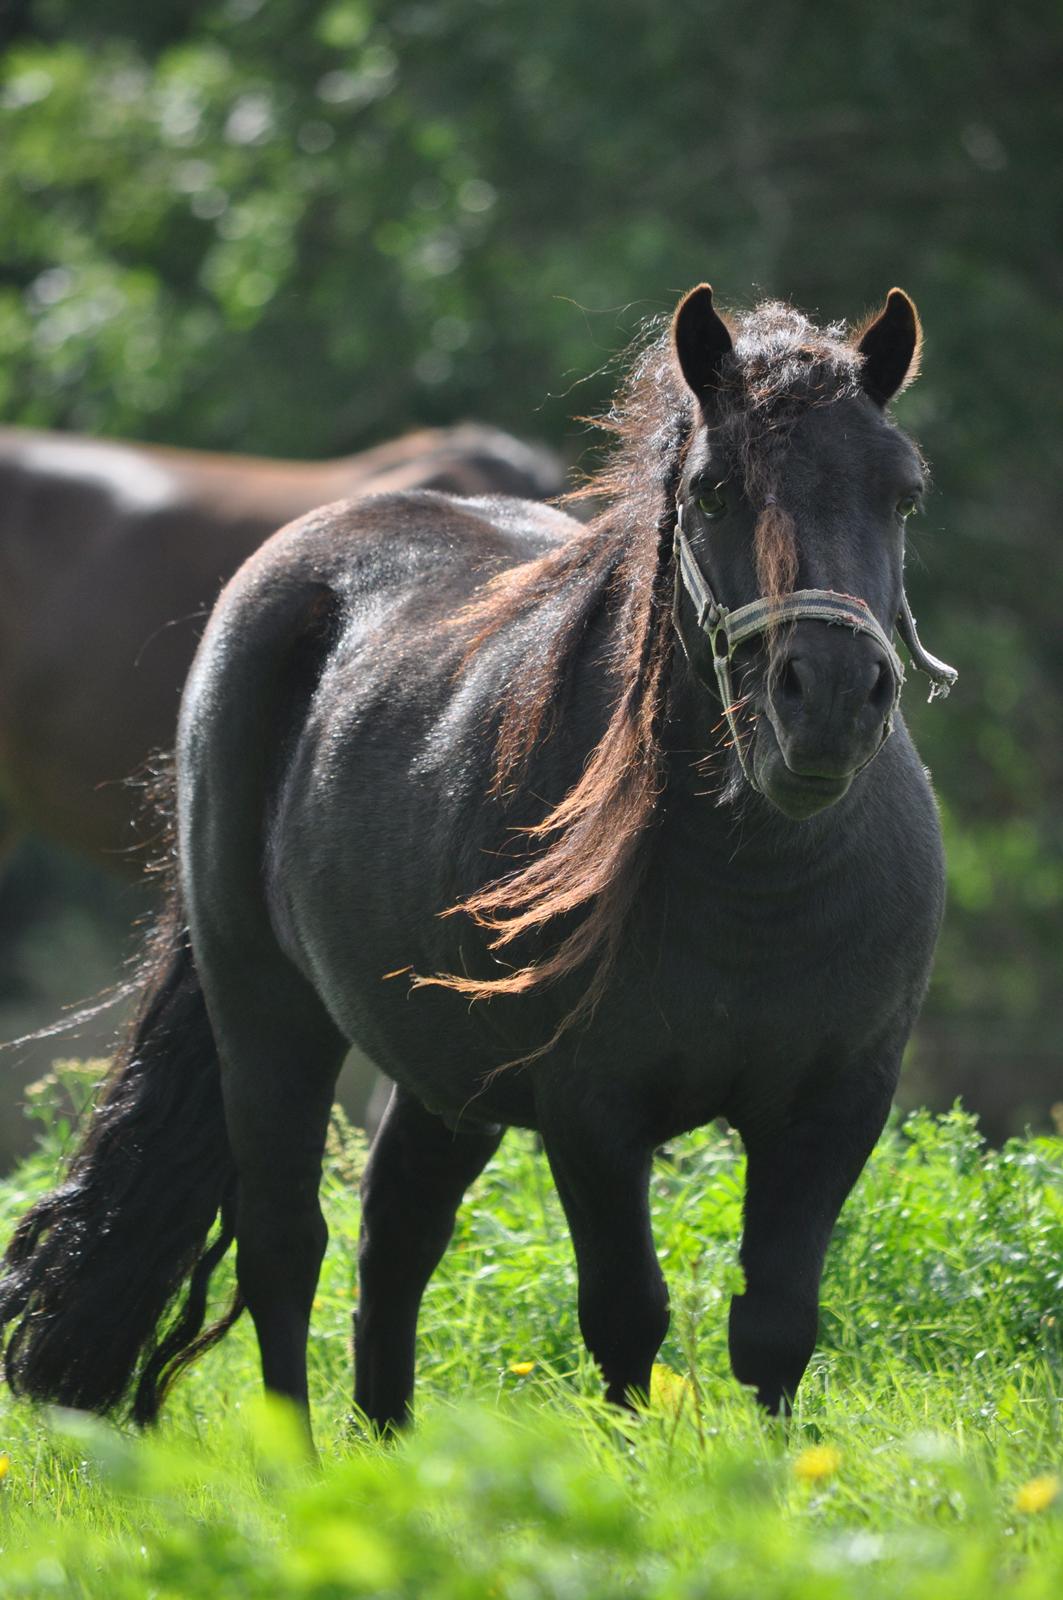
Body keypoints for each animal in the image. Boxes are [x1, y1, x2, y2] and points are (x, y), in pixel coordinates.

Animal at [0, 288, 954, 1440]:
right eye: (715, 491)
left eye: (901, 494)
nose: (826, 700)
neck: (762, 888)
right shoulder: (593, 1113)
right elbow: (625, 1316)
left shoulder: (833, 1107)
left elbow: (773, 1325)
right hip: (268, 1012)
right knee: (286, 1245)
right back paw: (298, 1462)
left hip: (441, 1070)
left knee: (398, 1235)